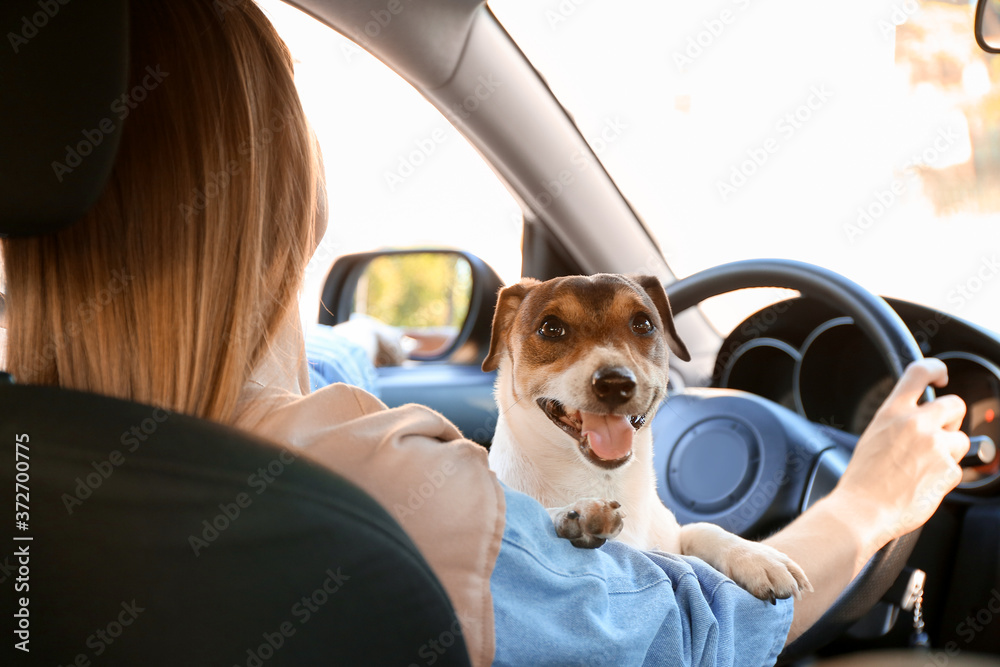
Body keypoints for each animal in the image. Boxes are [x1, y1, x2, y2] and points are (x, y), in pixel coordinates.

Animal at [482, 274, 812, 604]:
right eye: (550, 328)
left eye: (643, 323)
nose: (615, 383)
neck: (603, 480)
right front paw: (573, 513)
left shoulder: (673, 536)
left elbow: (702, 528)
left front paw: (757, 556)